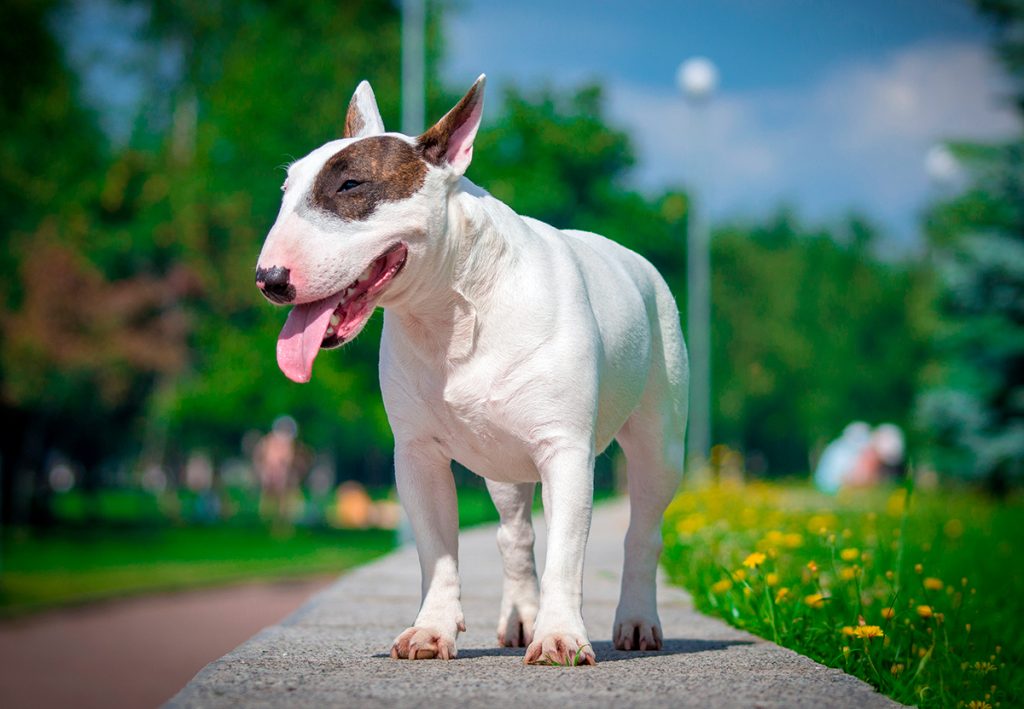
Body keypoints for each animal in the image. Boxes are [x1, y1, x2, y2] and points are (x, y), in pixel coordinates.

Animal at [256, 77, 688, 663]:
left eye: (351, 184)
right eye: (286, 190)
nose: (268, 279)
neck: (451, 310)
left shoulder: (565, 449)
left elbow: (567, 553)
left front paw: (560, 636)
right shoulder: (417, 455)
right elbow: (437, 552)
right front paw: (431, 630)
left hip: (659, 440)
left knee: (643, 530)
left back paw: (638, 622)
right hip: (503, 461)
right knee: (515, 535)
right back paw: (521, 617)